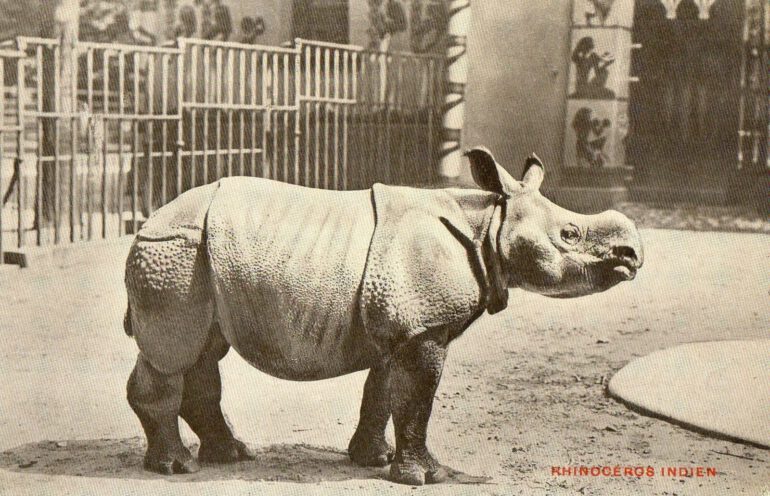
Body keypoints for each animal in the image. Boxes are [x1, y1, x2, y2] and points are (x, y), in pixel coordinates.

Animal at [123, 147, 643, 485]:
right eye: (570, 234)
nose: (633, 255)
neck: (487, 224)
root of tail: (148, 221)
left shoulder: (403, 327)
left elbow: (383, 392)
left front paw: (373, 461)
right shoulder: (423, 328)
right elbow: (418, 399)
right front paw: (428, 476)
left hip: (196, 256)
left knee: (202, 351)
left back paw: (230, 456)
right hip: (176, 250)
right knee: (173, 354)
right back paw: (177, 468)